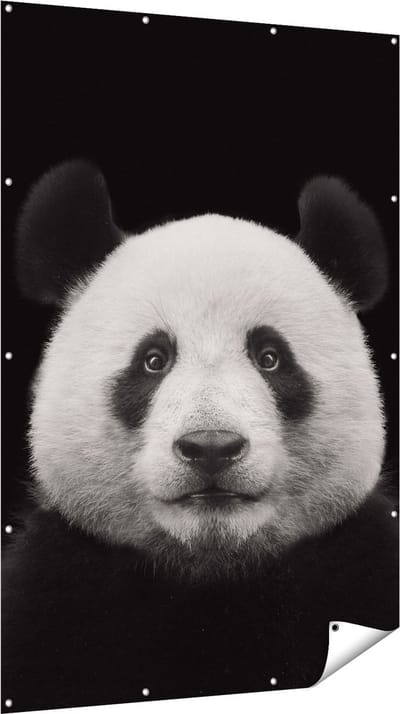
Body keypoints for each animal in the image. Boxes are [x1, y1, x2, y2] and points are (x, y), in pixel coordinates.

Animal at [3, 161, 398, 712]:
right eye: (153, 360)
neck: (210, 573)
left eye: (270, 357)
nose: (211, 447)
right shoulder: (55, 596)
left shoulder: (362, 566)